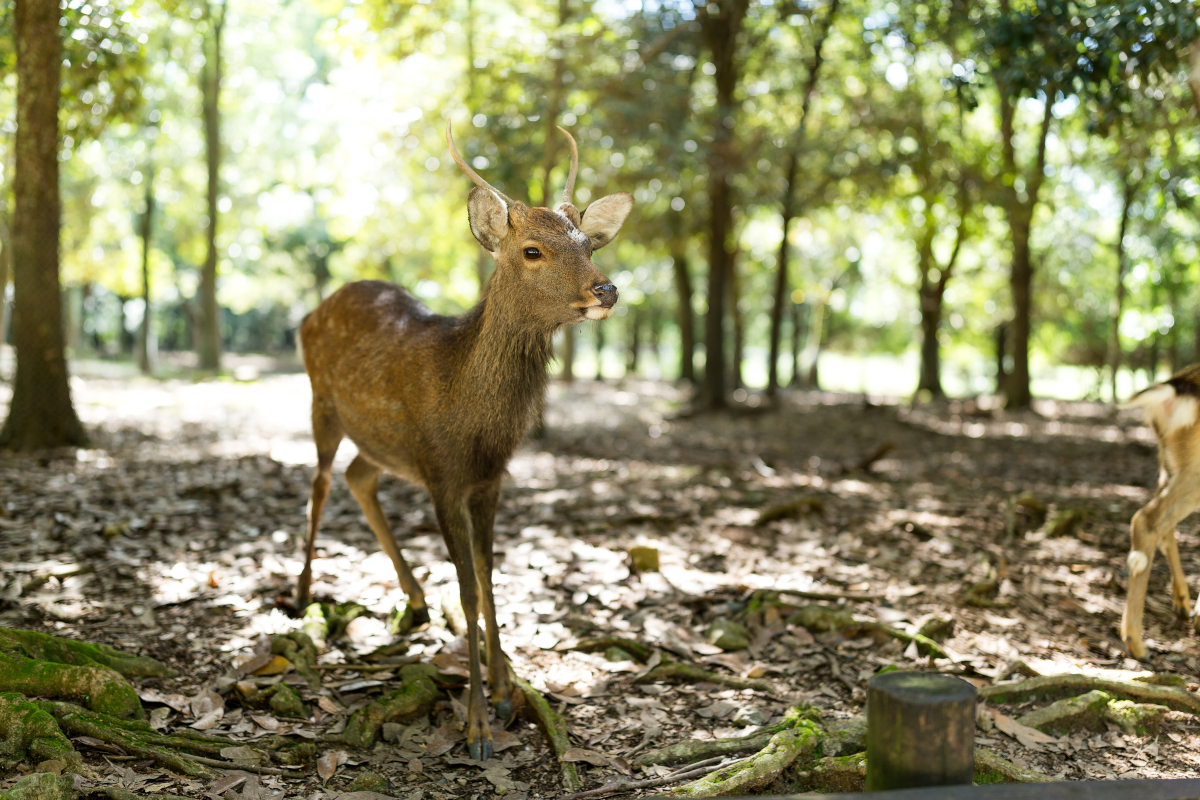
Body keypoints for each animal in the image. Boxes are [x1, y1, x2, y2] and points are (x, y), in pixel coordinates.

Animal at [291, 122, 633, 762]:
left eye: (589, 244)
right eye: (532, 250)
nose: (607, 289)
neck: (471, 421)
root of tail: (309, 313)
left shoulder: (489, 478)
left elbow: (491, 575)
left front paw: (503, 692)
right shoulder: (441, 475)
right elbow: (469, 590)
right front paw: (476, 727)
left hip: (380, 441)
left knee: (357, 476)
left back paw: (416, 600)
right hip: (322, 401)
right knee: (320, 482)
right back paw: (300, 596)